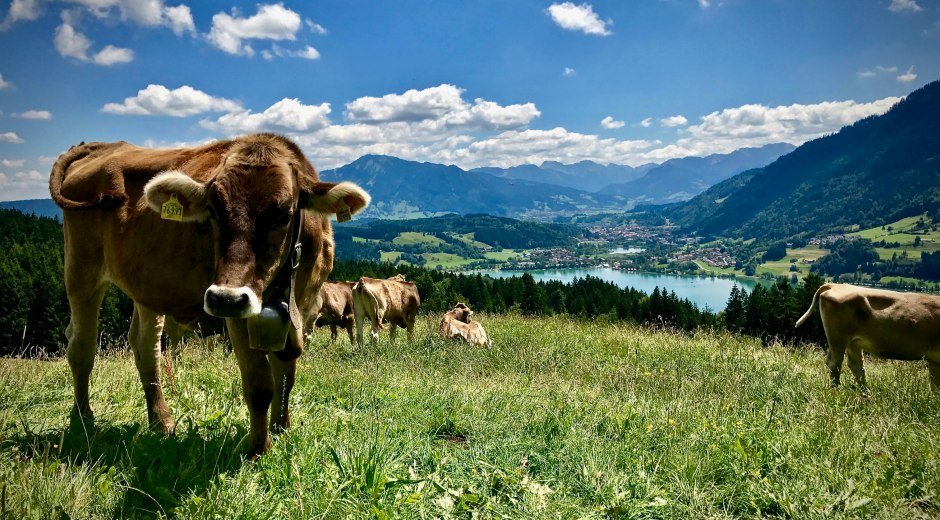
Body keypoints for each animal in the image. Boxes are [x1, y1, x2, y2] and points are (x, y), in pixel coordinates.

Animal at [49, 133, 370, 456]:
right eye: (213, 211)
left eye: (283, 214)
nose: (224, 298)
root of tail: (104, 146)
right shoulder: (239, 314)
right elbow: (259, 384)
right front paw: (257, 449)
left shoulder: (303, 306)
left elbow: (286, 374)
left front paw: (282, 429)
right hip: (80, 268)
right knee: (81, 347)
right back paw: (83, 419)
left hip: (146, 285)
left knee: (145, 348)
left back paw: (161, 421)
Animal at [796, 282, 940, 388]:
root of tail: (835, 285)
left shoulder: (934, 359)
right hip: (838, 338)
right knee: (835, 364)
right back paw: (836, 390)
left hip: (852, 341)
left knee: (856, 365)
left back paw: (866, 394)